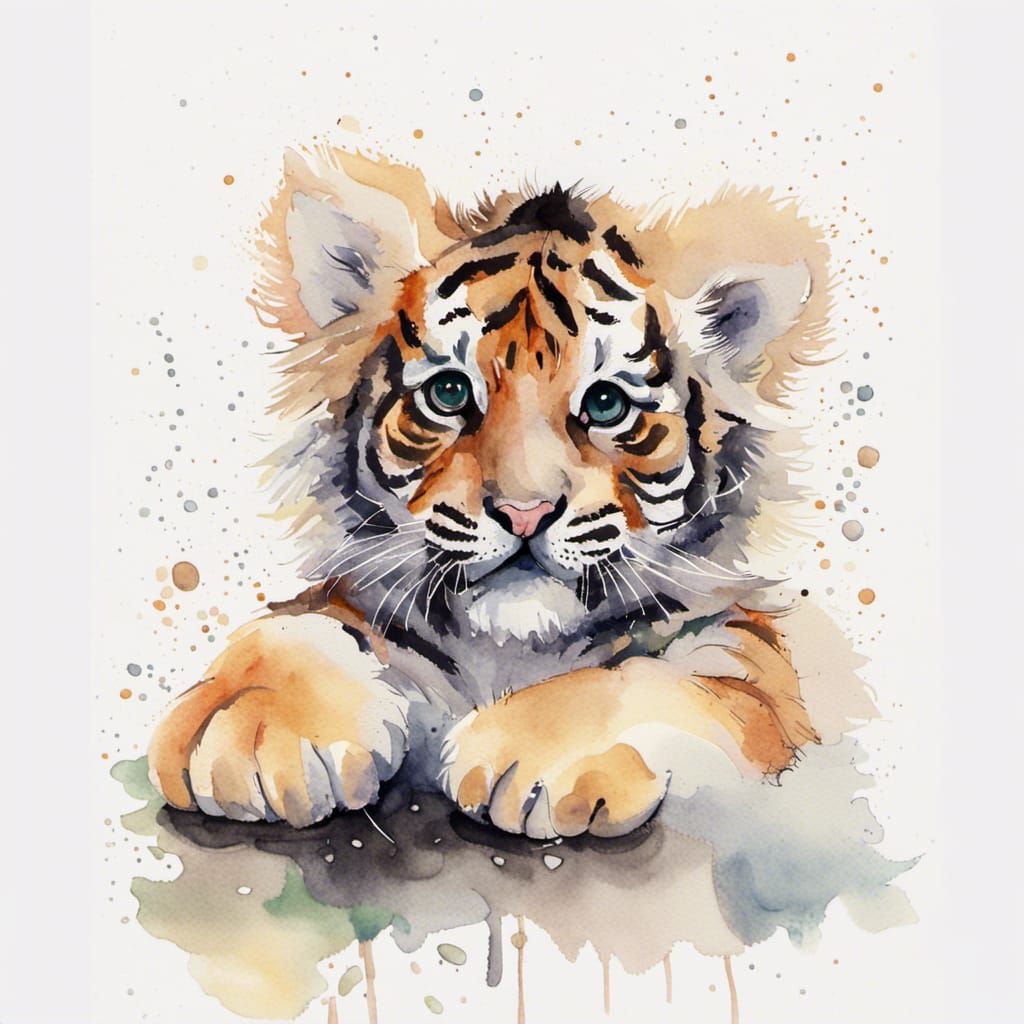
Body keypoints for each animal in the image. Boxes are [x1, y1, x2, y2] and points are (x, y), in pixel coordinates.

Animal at [148, 145, 831, 838]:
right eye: (449, 393)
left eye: (606, 404)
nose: (525, 513)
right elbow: (298, 626)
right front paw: (251, 724)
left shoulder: (747, 657)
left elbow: (663, 672)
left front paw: (526, 753)